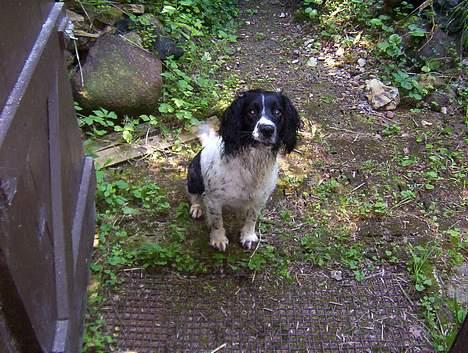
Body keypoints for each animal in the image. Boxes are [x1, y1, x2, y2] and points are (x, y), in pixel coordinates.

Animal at [186, 89, 300, 252]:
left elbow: (252, 217)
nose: (267, 129)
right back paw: (197, 207)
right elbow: (217, 222)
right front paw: (218, 239)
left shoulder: (260, 197)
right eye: (251, 111)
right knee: (193, 195)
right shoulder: (214, 199)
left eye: (278, 112)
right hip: (194, 177)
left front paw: (248, 236)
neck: (252, 162)